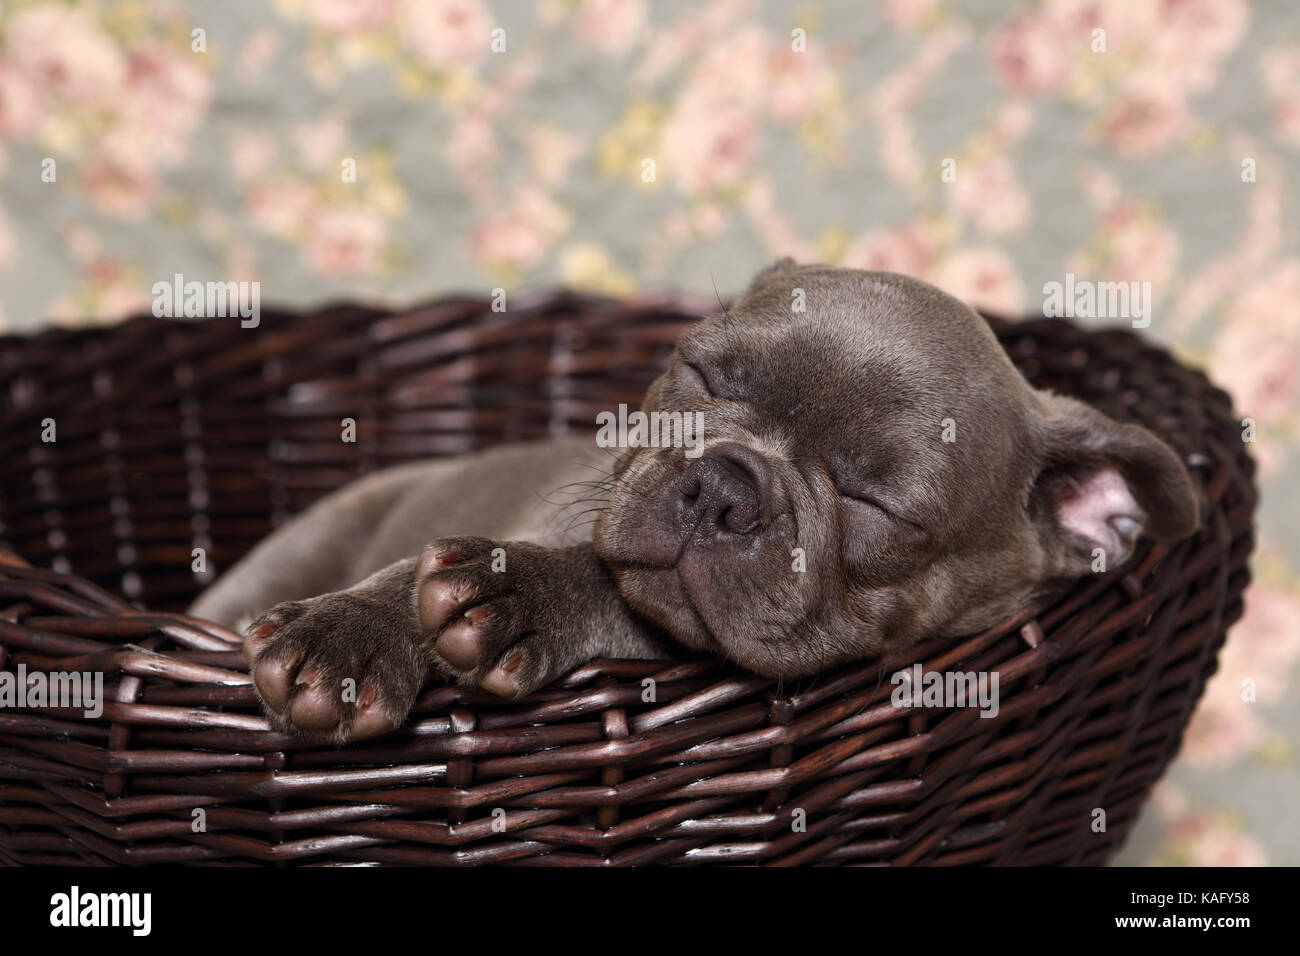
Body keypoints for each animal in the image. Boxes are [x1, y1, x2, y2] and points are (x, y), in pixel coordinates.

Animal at [192, 264, 1196, 749]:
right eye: (704, 372)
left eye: (875, 502)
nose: (723, 486)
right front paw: (354, 632)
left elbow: (628, 604)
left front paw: (515, 596)